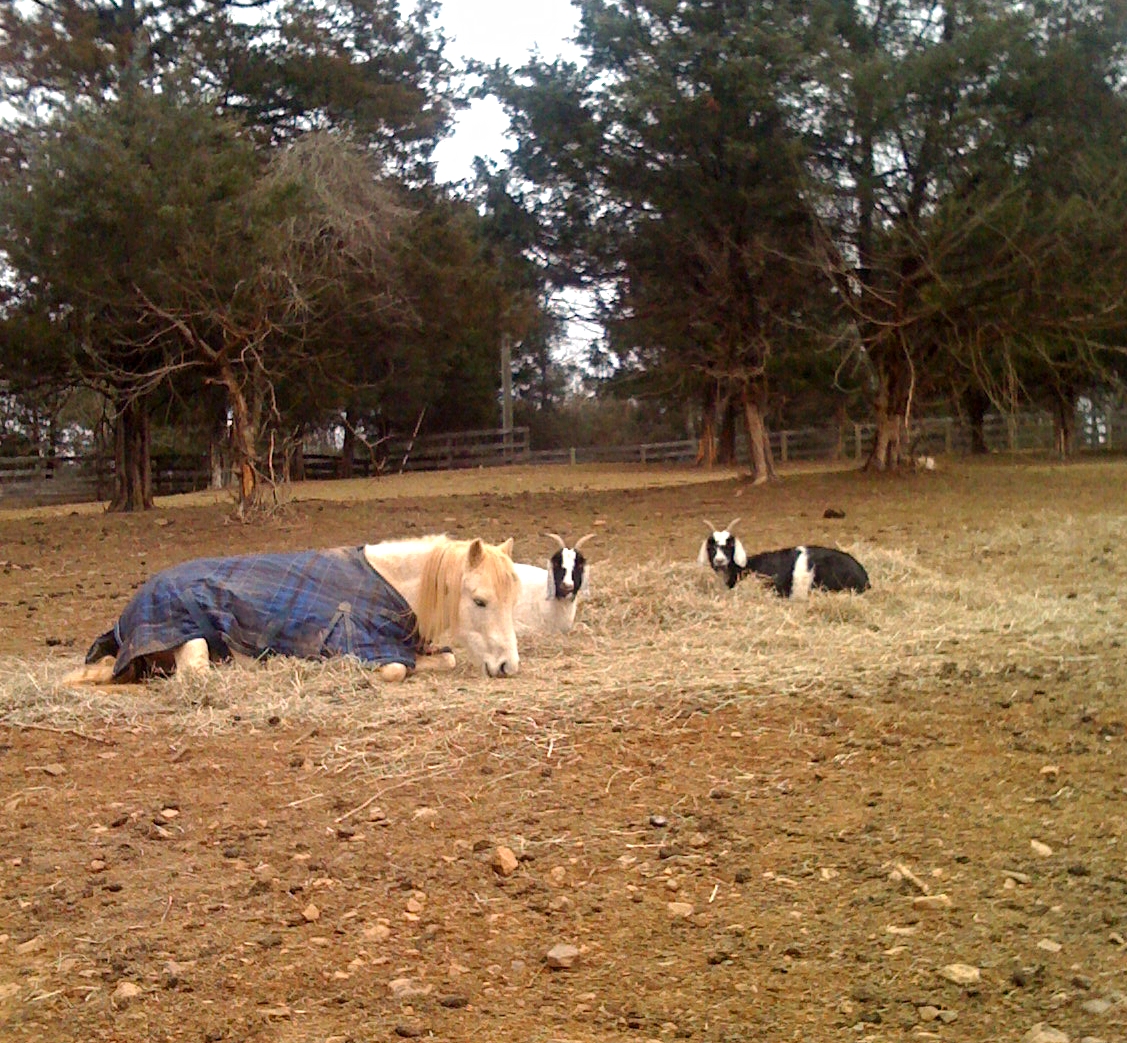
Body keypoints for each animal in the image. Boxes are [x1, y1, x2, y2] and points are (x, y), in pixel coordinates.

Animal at [69, 536, 522, 685]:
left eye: (513, 600)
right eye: (480, 601)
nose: (508, 667)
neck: (392, 586)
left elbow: (444, 659)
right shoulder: (364, 646)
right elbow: (396, 668)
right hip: (190, 637)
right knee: (195, 673)